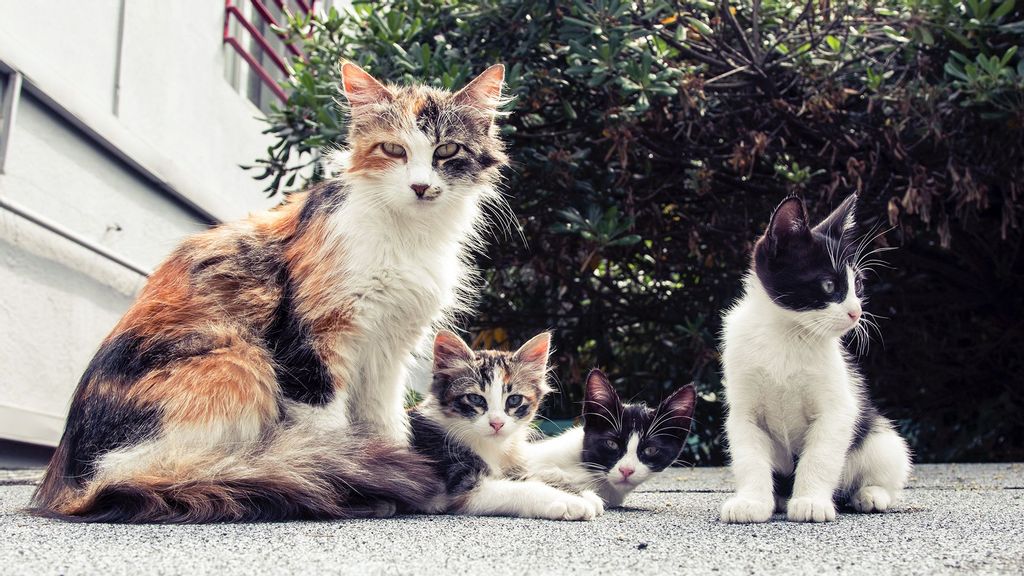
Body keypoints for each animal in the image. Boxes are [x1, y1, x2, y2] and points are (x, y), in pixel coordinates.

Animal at [32, 61, 512, 520]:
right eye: (393, 149)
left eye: (446, 150)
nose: (420, 186)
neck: (409, 236)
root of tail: (70, 482)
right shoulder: (314, 338)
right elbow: (329, 432)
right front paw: (360, 480)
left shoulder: (388, 348)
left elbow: (385, 422)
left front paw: (395, 474)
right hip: (238, 360)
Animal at [407, 330, 602, 518]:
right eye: (475, 398)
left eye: (514, 399)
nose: (497, 423)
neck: (493, 447)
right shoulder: (462, 485)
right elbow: (522, 488)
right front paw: (571, 501)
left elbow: (533, 476)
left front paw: (582, 493)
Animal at [720, 194, 913, 522]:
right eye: (829, 285)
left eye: (857, 285)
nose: (856, 312)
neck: (786, 335)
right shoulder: (743, 411)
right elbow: (749, 457)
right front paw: (751, 502)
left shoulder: (838, 408)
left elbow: (820, 456)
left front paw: (810, 501)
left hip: (881, 436)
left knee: (886, 463)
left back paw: (870, 494)